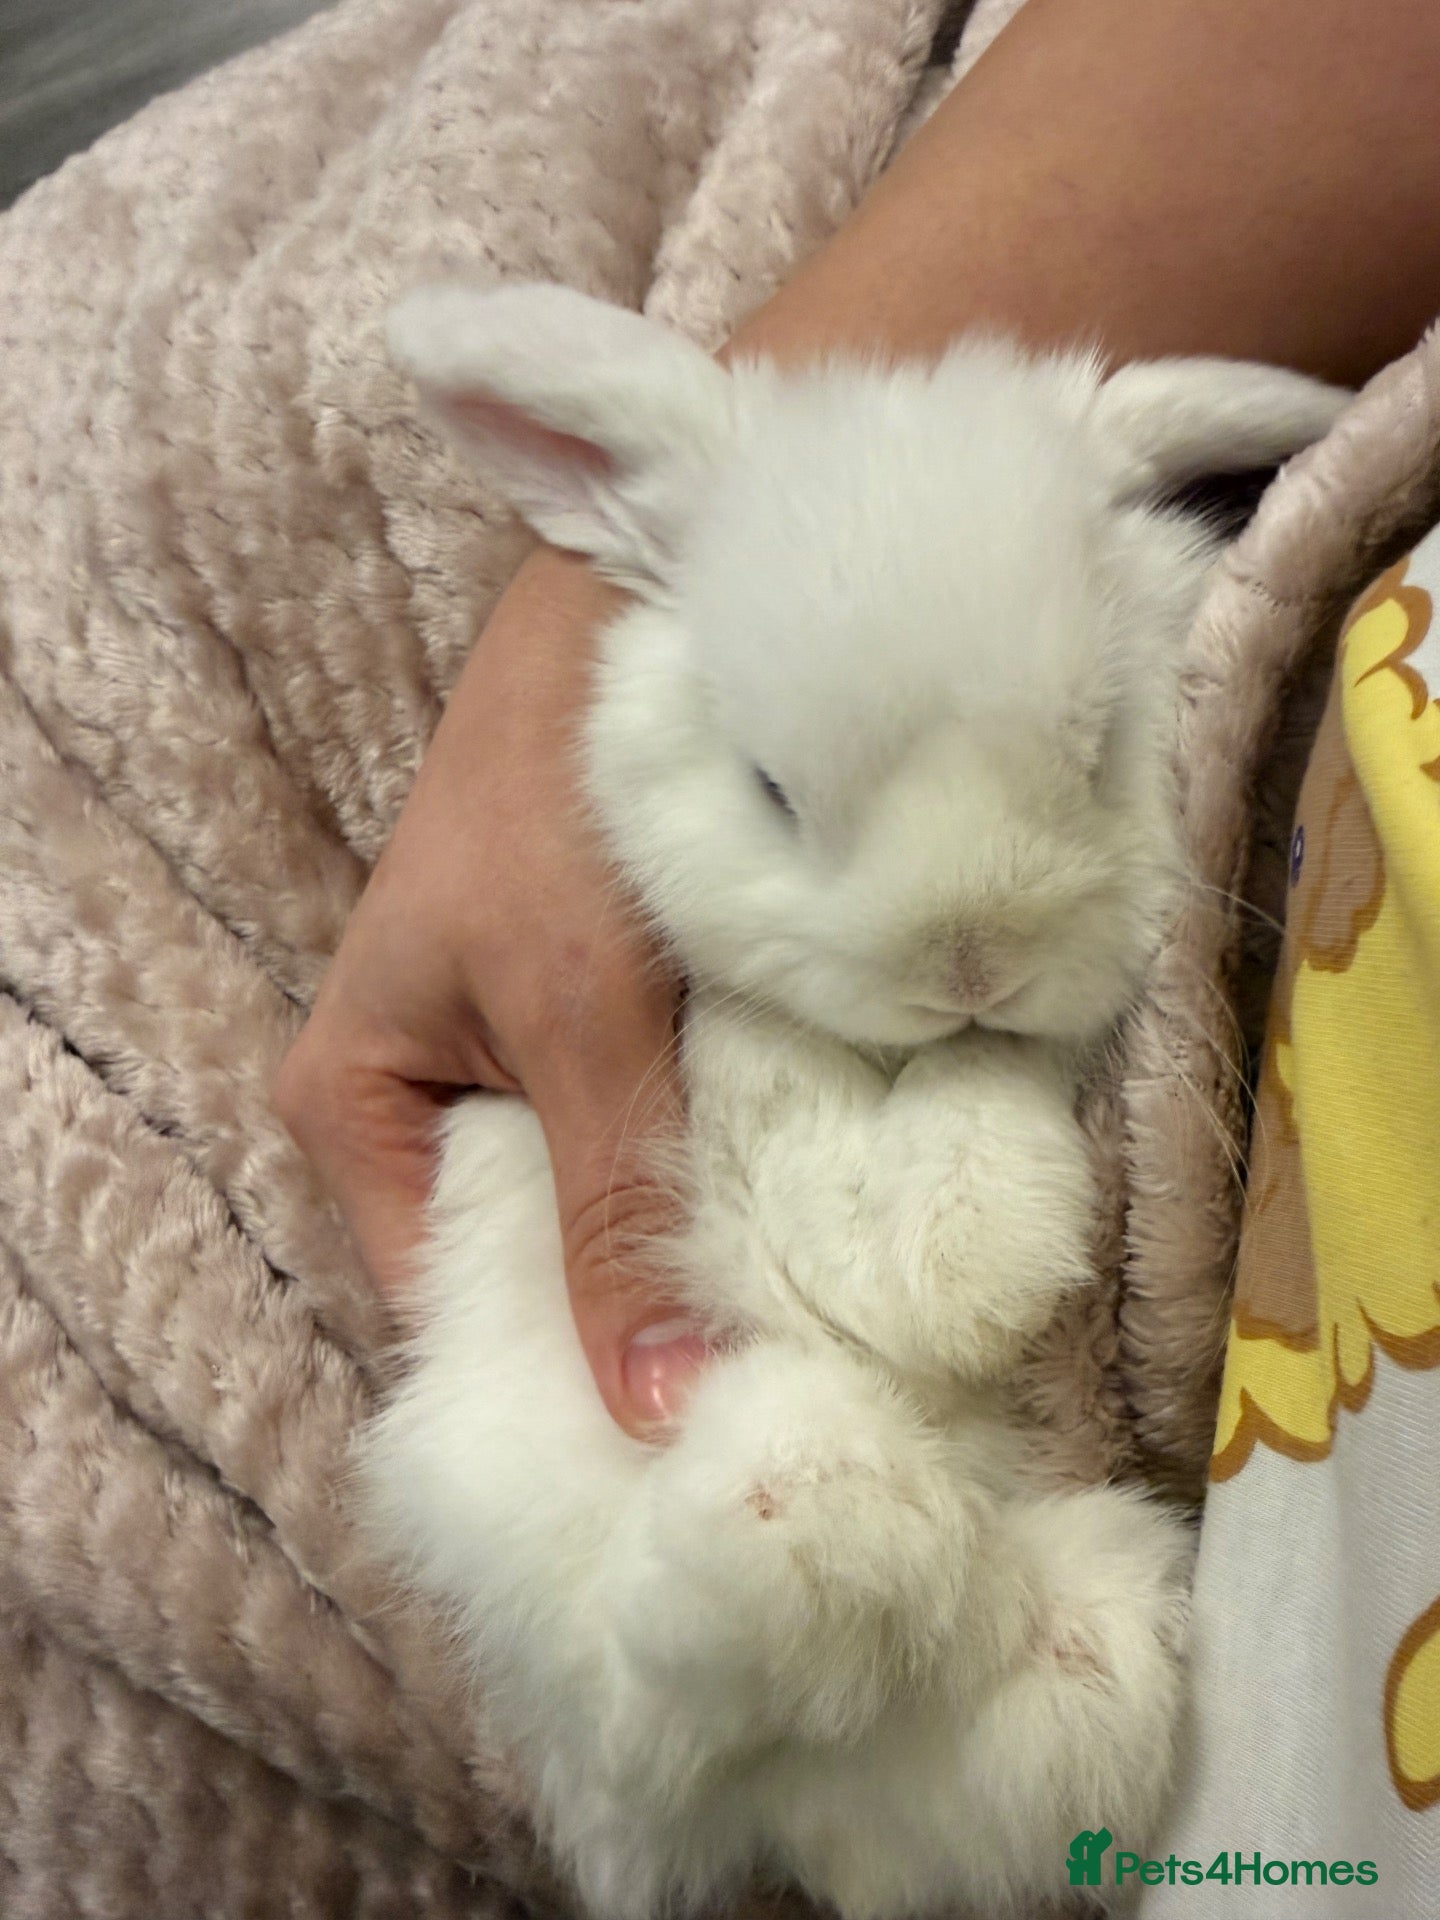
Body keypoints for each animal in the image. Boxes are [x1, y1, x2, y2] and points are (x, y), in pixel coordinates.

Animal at [360, 283, 1349, 1920]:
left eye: (1098, 747)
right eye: (771, 790)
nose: (968, 952)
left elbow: (984, 1083)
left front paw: (971, 1262)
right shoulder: (725, 1049)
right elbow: (792, 1115)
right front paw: (939, 1284)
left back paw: (947, 1595)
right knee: (650, 1709)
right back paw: (822, 1513)